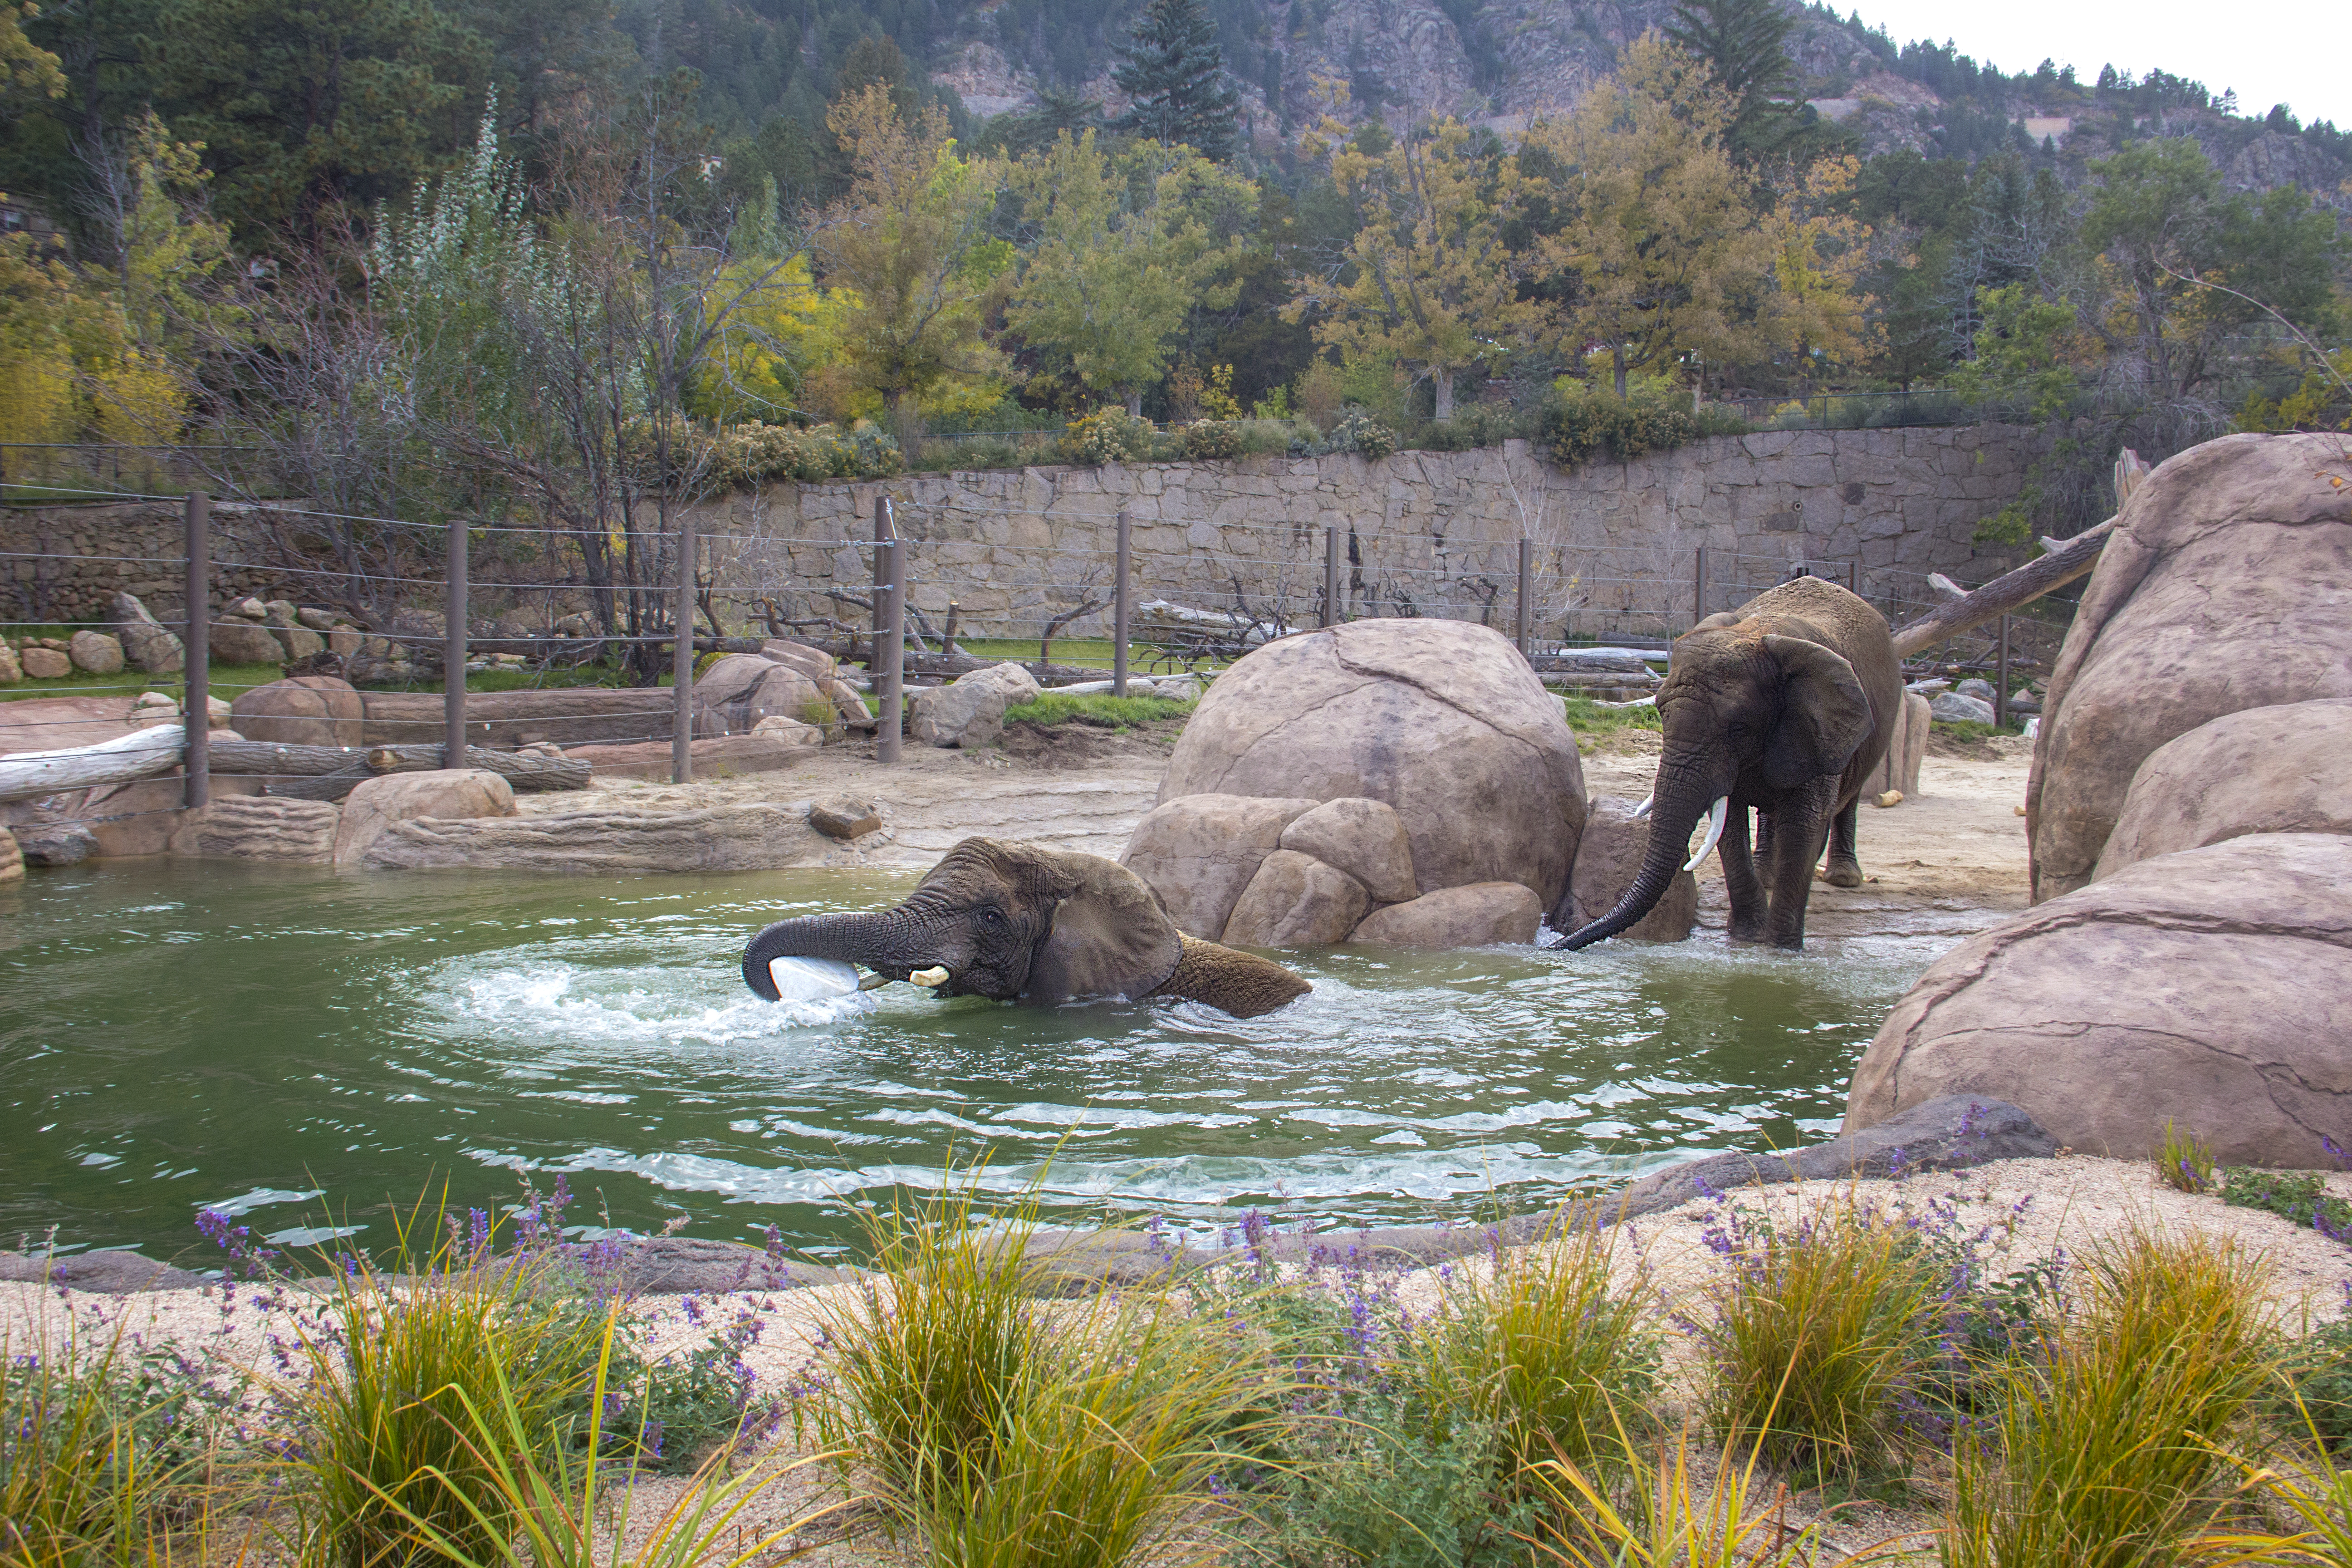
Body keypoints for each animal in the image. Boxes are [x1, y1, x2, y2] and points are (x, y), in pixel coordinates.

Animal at [1552, 573, 1900, 950]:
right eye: (1660, 713)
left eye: (1739, 728)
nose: (1553, 945)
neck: (1755, 633)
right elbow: (1729, 825)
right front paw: (1747, 939)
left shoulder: (1815, 726)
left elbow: (1802, 824)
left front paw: (1781, 951)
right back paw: (1766, 876)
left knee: (1849, 797)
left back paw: (1843, 878)